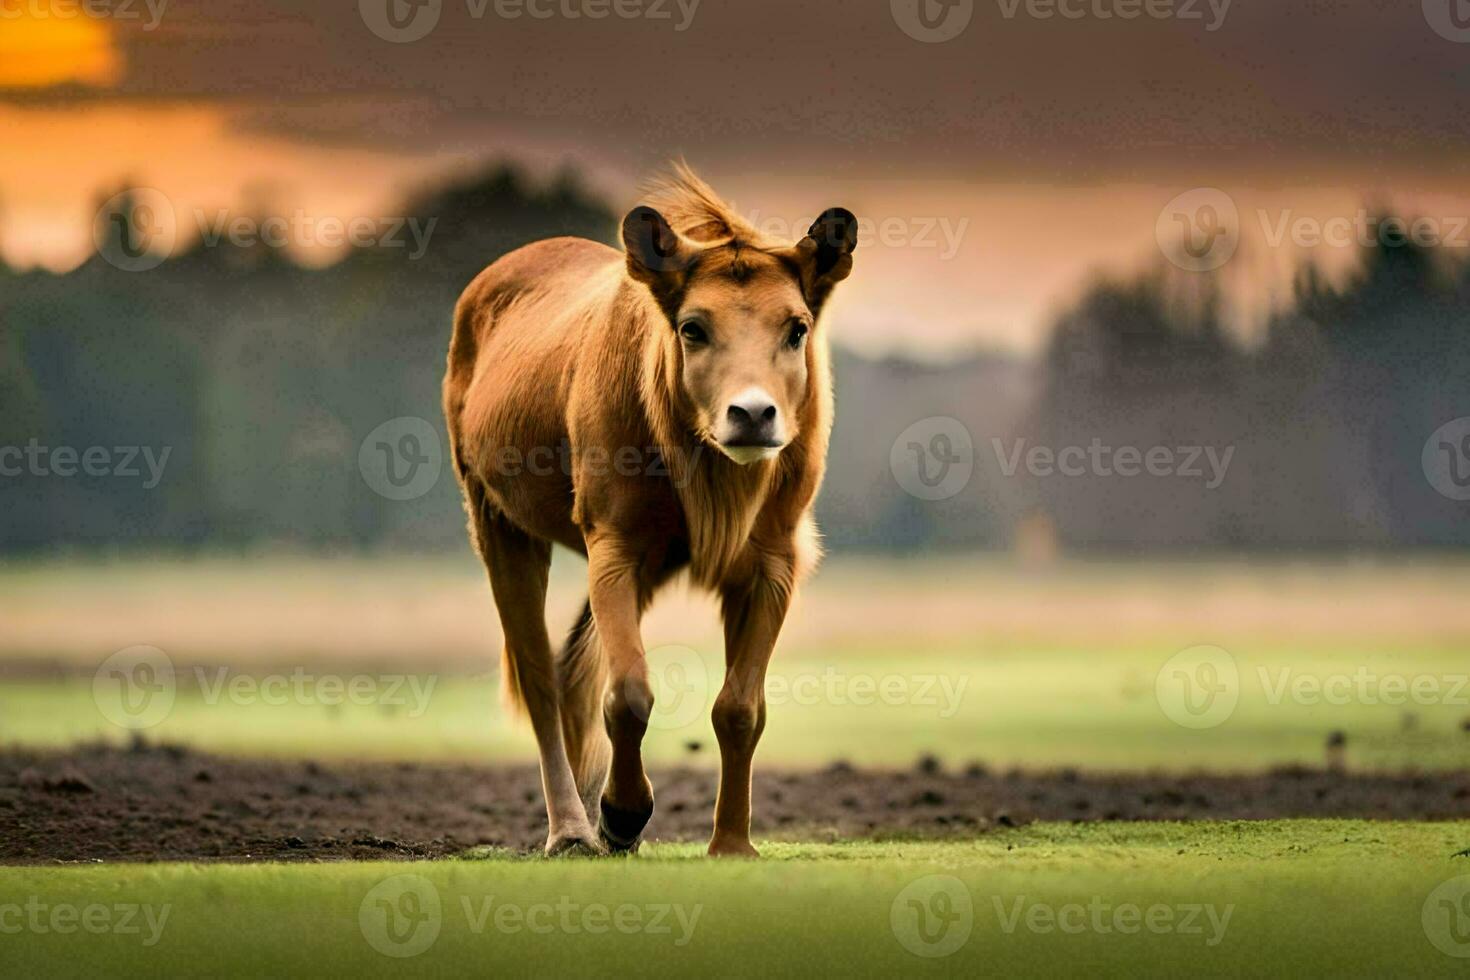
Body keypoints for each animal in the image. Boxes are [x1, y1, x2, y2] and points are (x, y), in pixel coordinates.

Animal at [441, 164, 858, 852]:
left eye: (796, 328)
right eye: (693, 327)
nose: (752, 413)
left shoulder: (772, 562)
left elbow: (739, 708)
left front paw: (731, 843)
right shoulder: (614, 545)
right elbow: (628, 695)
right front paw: (622, 814)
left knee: (573, 670)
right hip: (495, 520)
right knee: (541, 678)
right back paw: (571, 830)